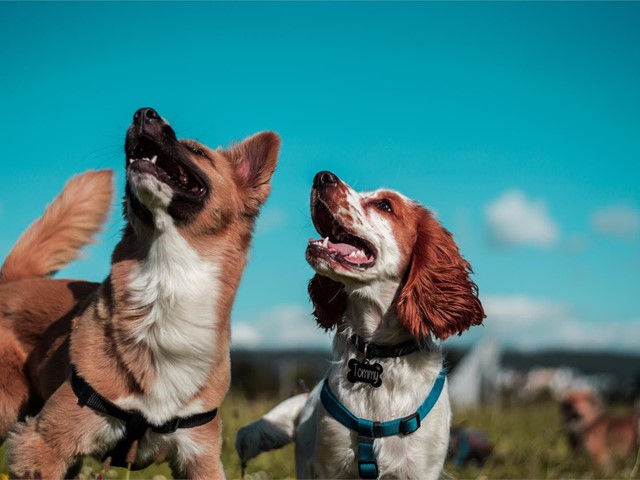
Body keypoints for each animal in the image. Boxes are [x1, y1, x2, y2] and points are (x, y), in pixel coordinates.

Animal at [2, 109, 278, 480]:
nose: (145, 113)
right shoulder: (44, 443)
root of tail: (13, 280)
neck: (166, 282)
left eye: (197, 152)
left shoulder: (201, 456)